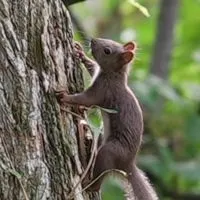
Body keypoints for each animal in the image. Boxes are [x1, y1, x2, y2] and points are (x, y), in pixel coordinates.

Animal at [55, 38, 158, 199]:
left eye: (107, 51)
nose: (93, 40)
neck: (113, 74)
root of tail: (127, 164)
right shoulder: (97, 74)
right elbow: (92, 66)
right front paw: (80, 53)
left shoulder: (102, 91)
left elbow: (85, 99)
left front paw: (65, 97)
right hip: (102, 138)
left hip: (109, 152)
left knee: (99, 178)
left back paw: (88, 183)